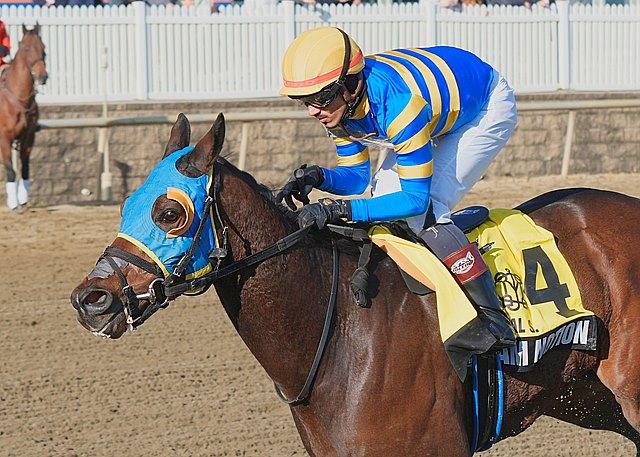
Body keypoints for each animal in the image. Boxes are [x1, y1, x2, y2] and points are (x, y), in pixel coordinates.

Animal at [0, 24, 47, 211]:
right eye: (26, 48)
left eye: (43, 48)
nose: (42, 76)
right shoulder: (4, 139)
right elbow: (10, 170)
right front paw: (13, 203)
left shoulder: (28, 137)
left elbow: (25, 167)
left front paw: (23, 199)